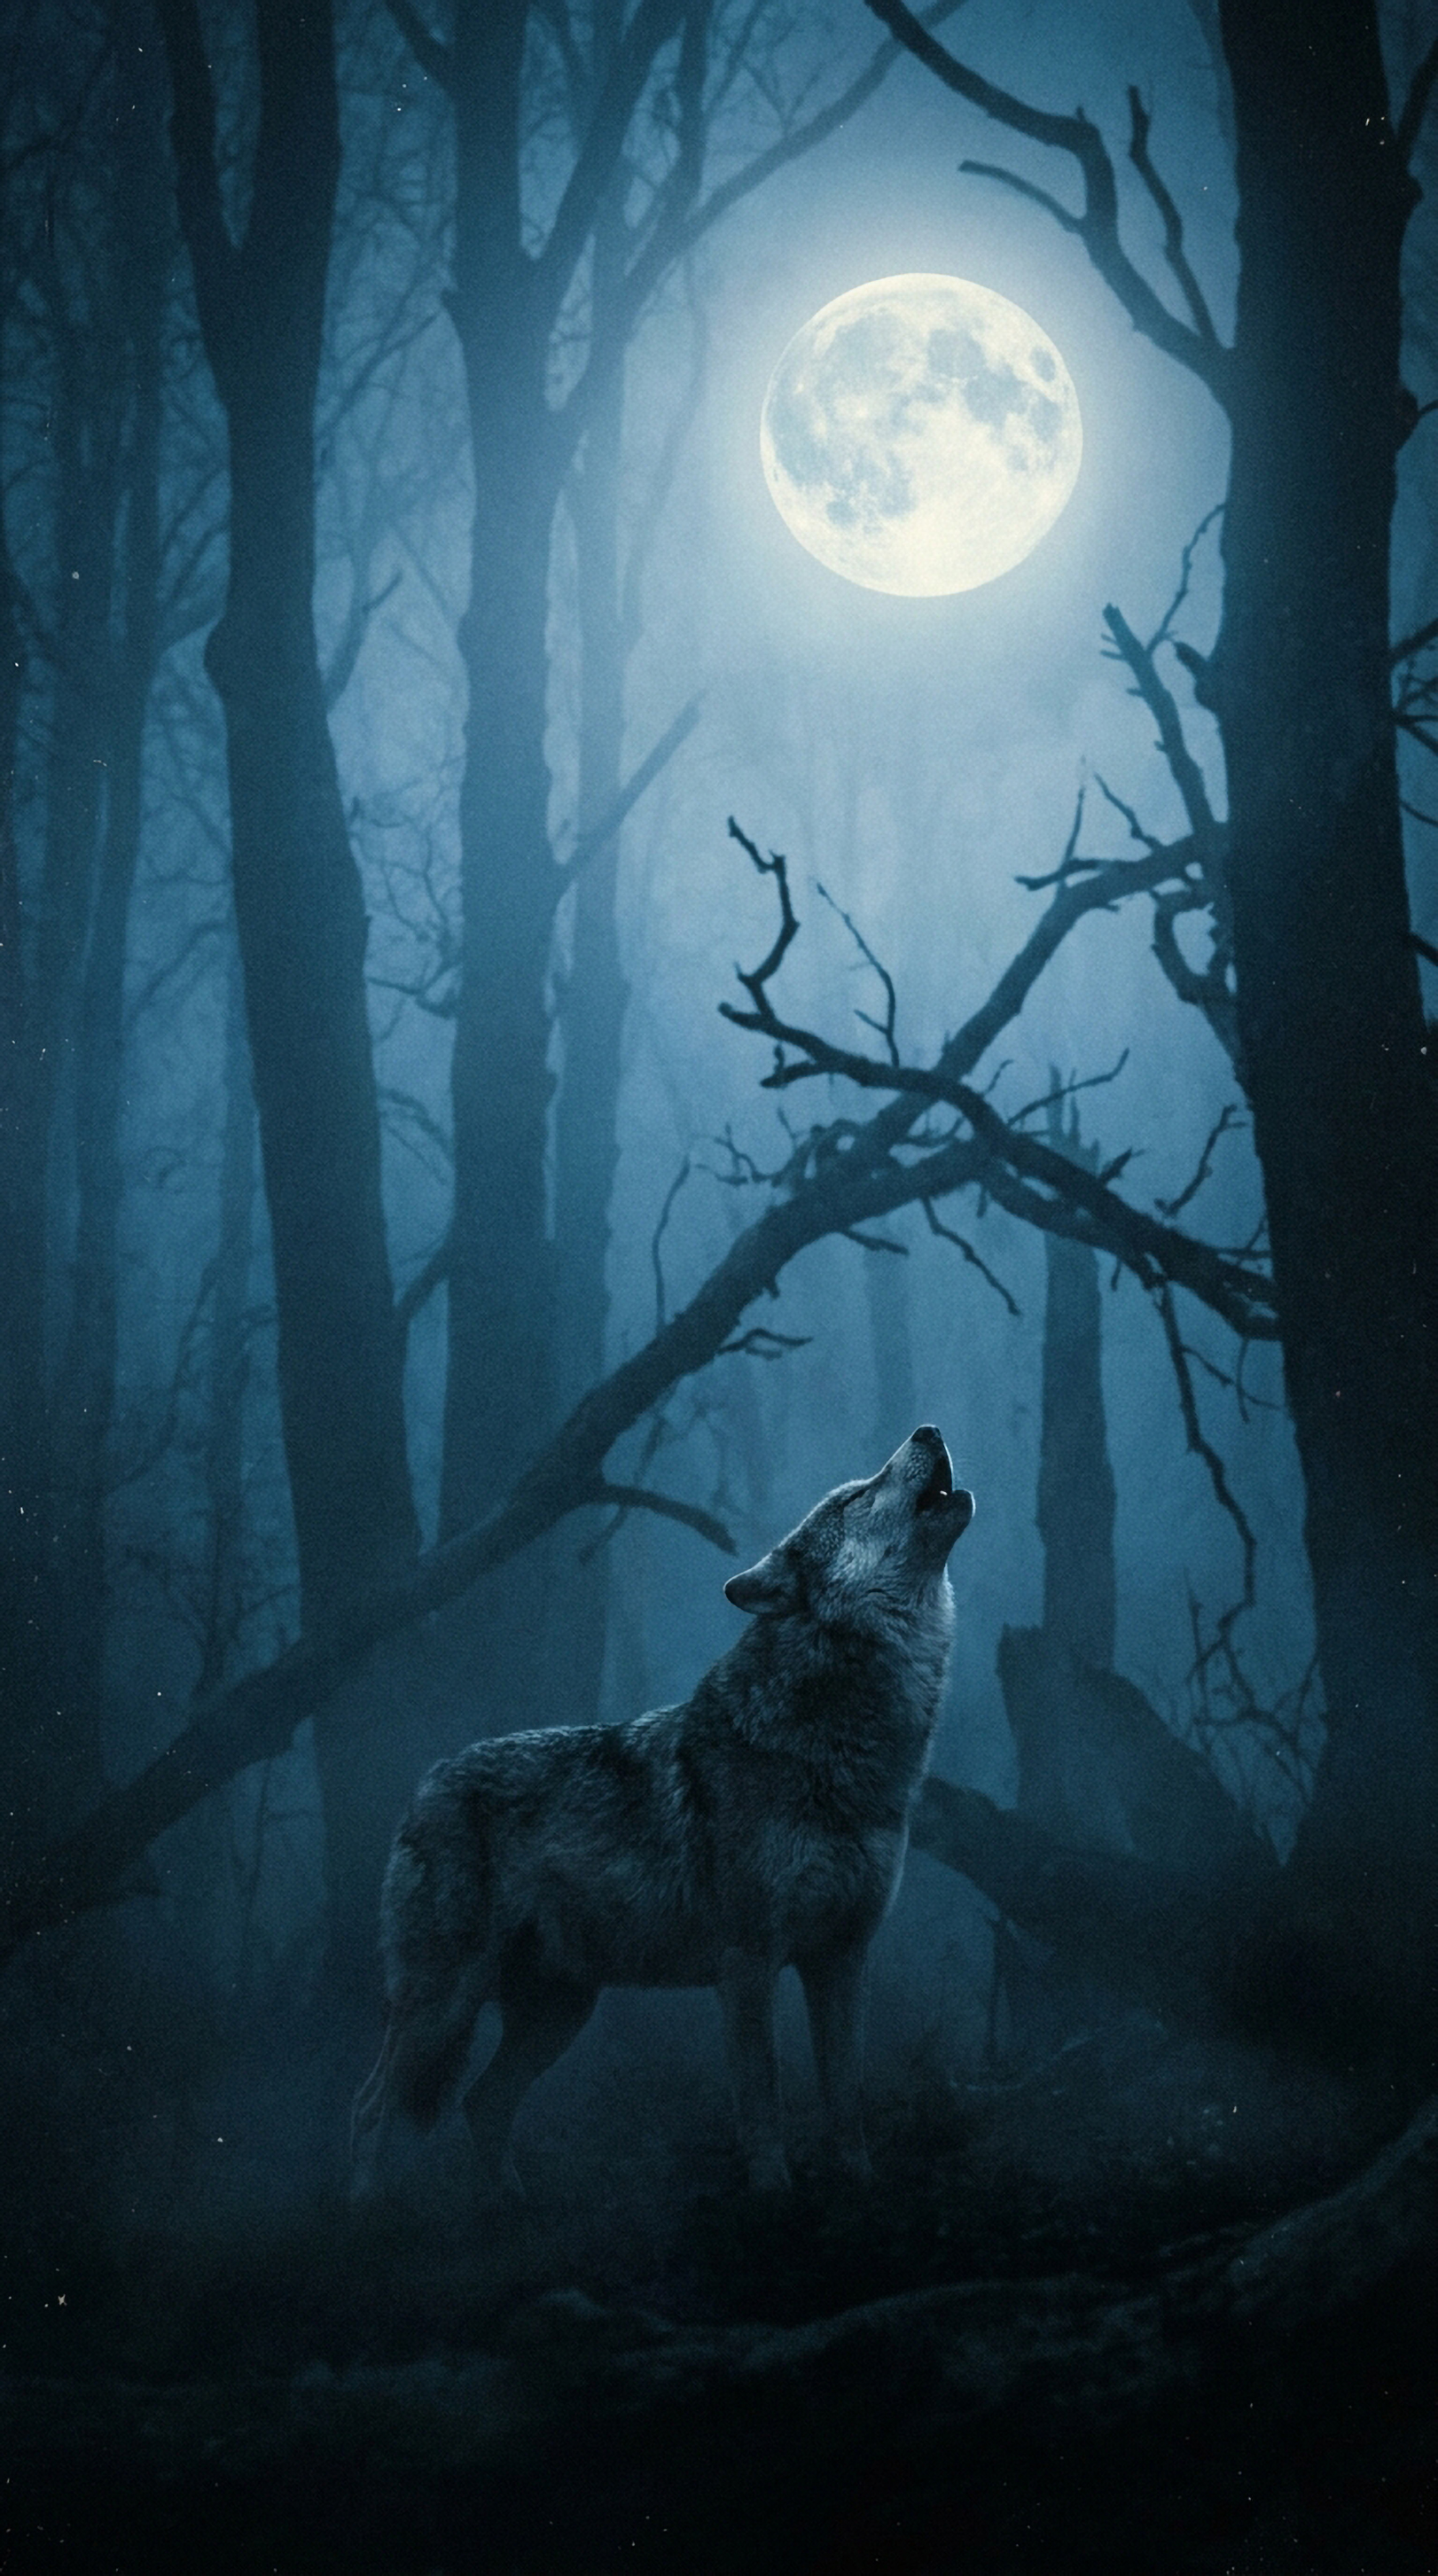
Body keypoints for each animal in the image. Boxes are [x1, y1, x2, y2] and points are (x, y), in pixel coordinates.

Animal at [351, 1425, 974, 2196]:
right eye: (856, 1496)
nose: (928, 1430)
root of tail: (424, 1783)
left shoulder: (843, 1958)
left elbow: (845, 2096)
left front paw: (859, 2185)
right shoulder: (748, 1964)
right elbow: (763, 2096)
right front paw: (774, 2195)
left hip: (559, 2011)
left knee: (481, 2101)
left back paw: (513, 2207)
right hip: (446, 2005)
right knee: (371, 2106)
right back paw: (364, 2213)